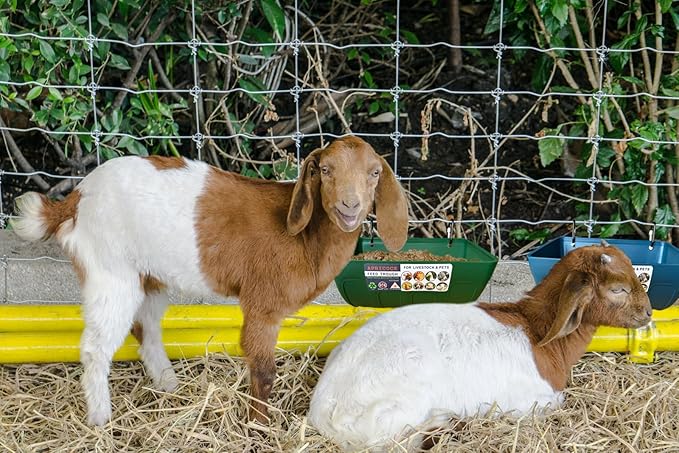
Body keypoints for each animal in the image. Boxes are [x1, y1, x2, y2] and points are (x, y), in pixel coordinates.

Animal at [10, 136, 409, 426]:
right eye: (325, 170)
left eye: (375, 173)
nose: (349, 207)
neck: (304, 238)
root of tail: (75, 199)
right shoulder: (262, 304)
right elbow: (264, 370)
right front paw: (258, 426)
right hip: (109, 271)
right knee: (96, 347)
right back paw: (100, 418)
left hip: (148, 276)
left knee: (146, 329)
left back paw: (169, 386)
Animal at [308, 243, 652, 451]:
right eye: (618, 289)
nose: (648, 313)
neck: (536, 331)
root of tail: (323, 412)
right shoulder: (528, 404)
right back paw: (445, 424)